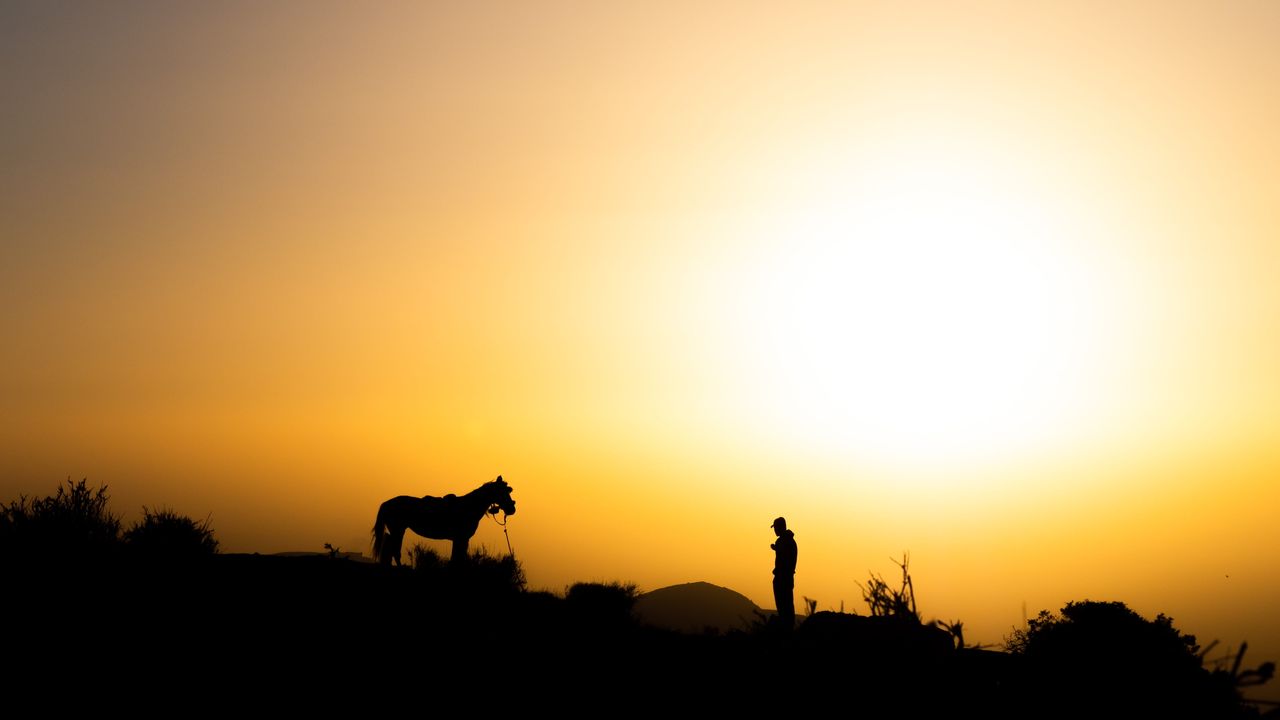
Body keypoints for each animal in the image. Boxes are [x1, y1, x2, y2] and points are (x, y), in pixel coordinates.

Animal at [371, 474, 514, 563]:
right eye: (503, 491)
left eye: (508, 490)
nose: (512, 508)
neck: (468, 506)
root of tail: (387, 503)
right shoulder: (461, 538)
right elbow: (457, 559)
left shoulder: (460, 539)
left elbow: (457, 558)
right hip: (398, 530)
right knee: (395, 551)